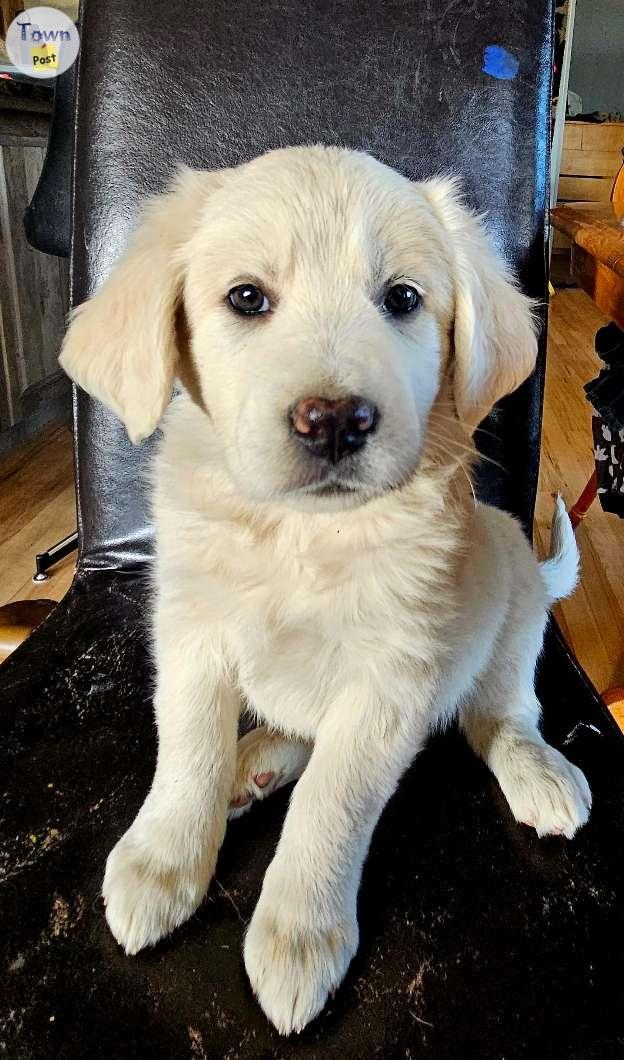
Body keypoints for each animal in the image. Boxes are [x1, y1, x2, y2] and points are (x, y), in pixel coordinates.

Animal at [59, 147, 589, 1034]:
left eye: (402, 298)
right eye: (247, 298)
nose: (334, 420)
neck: (302, 537)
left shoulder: (390, 684)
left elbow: (330, 809)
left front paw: (299, 934)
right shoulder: (191, 637)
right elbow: (188, 753)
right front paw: (165, 860)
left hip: (510, 576)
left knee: (502, 710)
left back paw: (535, 768)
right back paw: (256, 762)